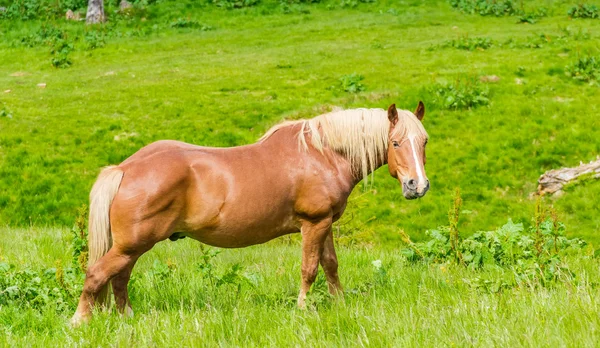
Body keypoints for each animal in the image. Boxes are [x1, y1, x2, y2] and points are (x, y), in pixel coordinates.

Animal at [71, 102, 432, 324]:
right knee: (97, 274)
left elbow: (330, 266)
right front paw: (303, 308)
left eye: (424, 141)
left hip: (131, 247)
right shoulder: (313, 223)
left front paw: (339, 303)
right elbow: (309, 269)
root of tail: (125, 168)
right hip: (132, 244)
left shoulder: (325, 223)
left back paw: (126, 317)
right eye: (396, 143)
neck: (322, 154)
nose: (418, 185)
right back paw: (80, 321)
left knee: (119, 278)